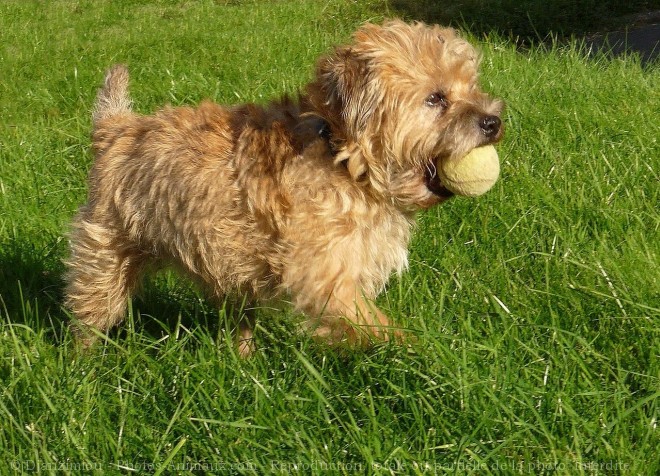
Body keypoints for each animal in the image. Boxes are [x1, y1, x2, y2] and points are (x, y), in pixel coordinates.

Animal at [64, 20, 502, 356]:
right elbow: (370, 323)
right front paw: (417, 350)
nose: (493, 120)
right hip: (105, 250)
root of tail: (116, 126)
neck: (341, 156)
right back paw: (83, 366)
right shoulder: (325, 276)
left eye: (472, 88)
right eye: (436, 98)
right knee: (91, 308)